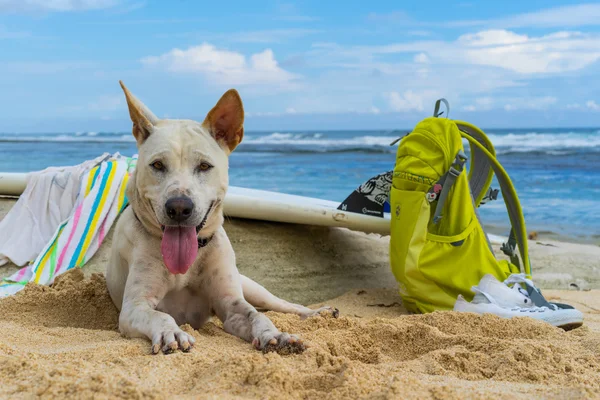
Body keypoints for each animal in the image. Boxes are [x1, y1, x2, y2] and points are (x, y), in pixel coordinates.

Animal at [105, 83, 336, 354]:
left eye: (205, 166)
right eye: (158, 165)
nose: (179, 208)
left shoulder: (231, 303)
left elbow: (257, 316)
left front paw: (276, 335)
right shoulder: (135, 306)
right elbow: (160, 315)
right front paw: (172, 332)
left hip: (252, 288)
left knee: (282, 305)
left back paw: (319, 312)